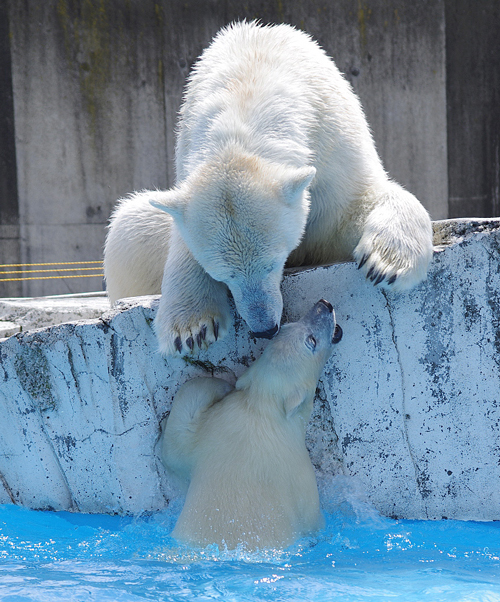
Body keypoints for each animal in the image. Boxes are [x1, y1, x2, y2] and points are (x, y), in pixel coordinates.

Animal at [103, 21, 432, 354]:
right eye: (223, 275)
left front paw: (385, 264)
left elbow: (355, 207)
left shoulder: (334, 144)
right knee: (130, 224)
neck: (251, 82)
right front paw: (191, 328)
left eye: (273, 263)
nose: (264, 329)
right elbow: (183, 240)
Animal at [158, 298, 342, 548]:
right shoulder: (300, 473)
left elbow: (181, 424)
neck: (262, 411)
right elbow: (311, 517)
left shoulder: (213, 427)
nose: (324, 304)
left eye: (287, 325)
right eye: (311, 341)